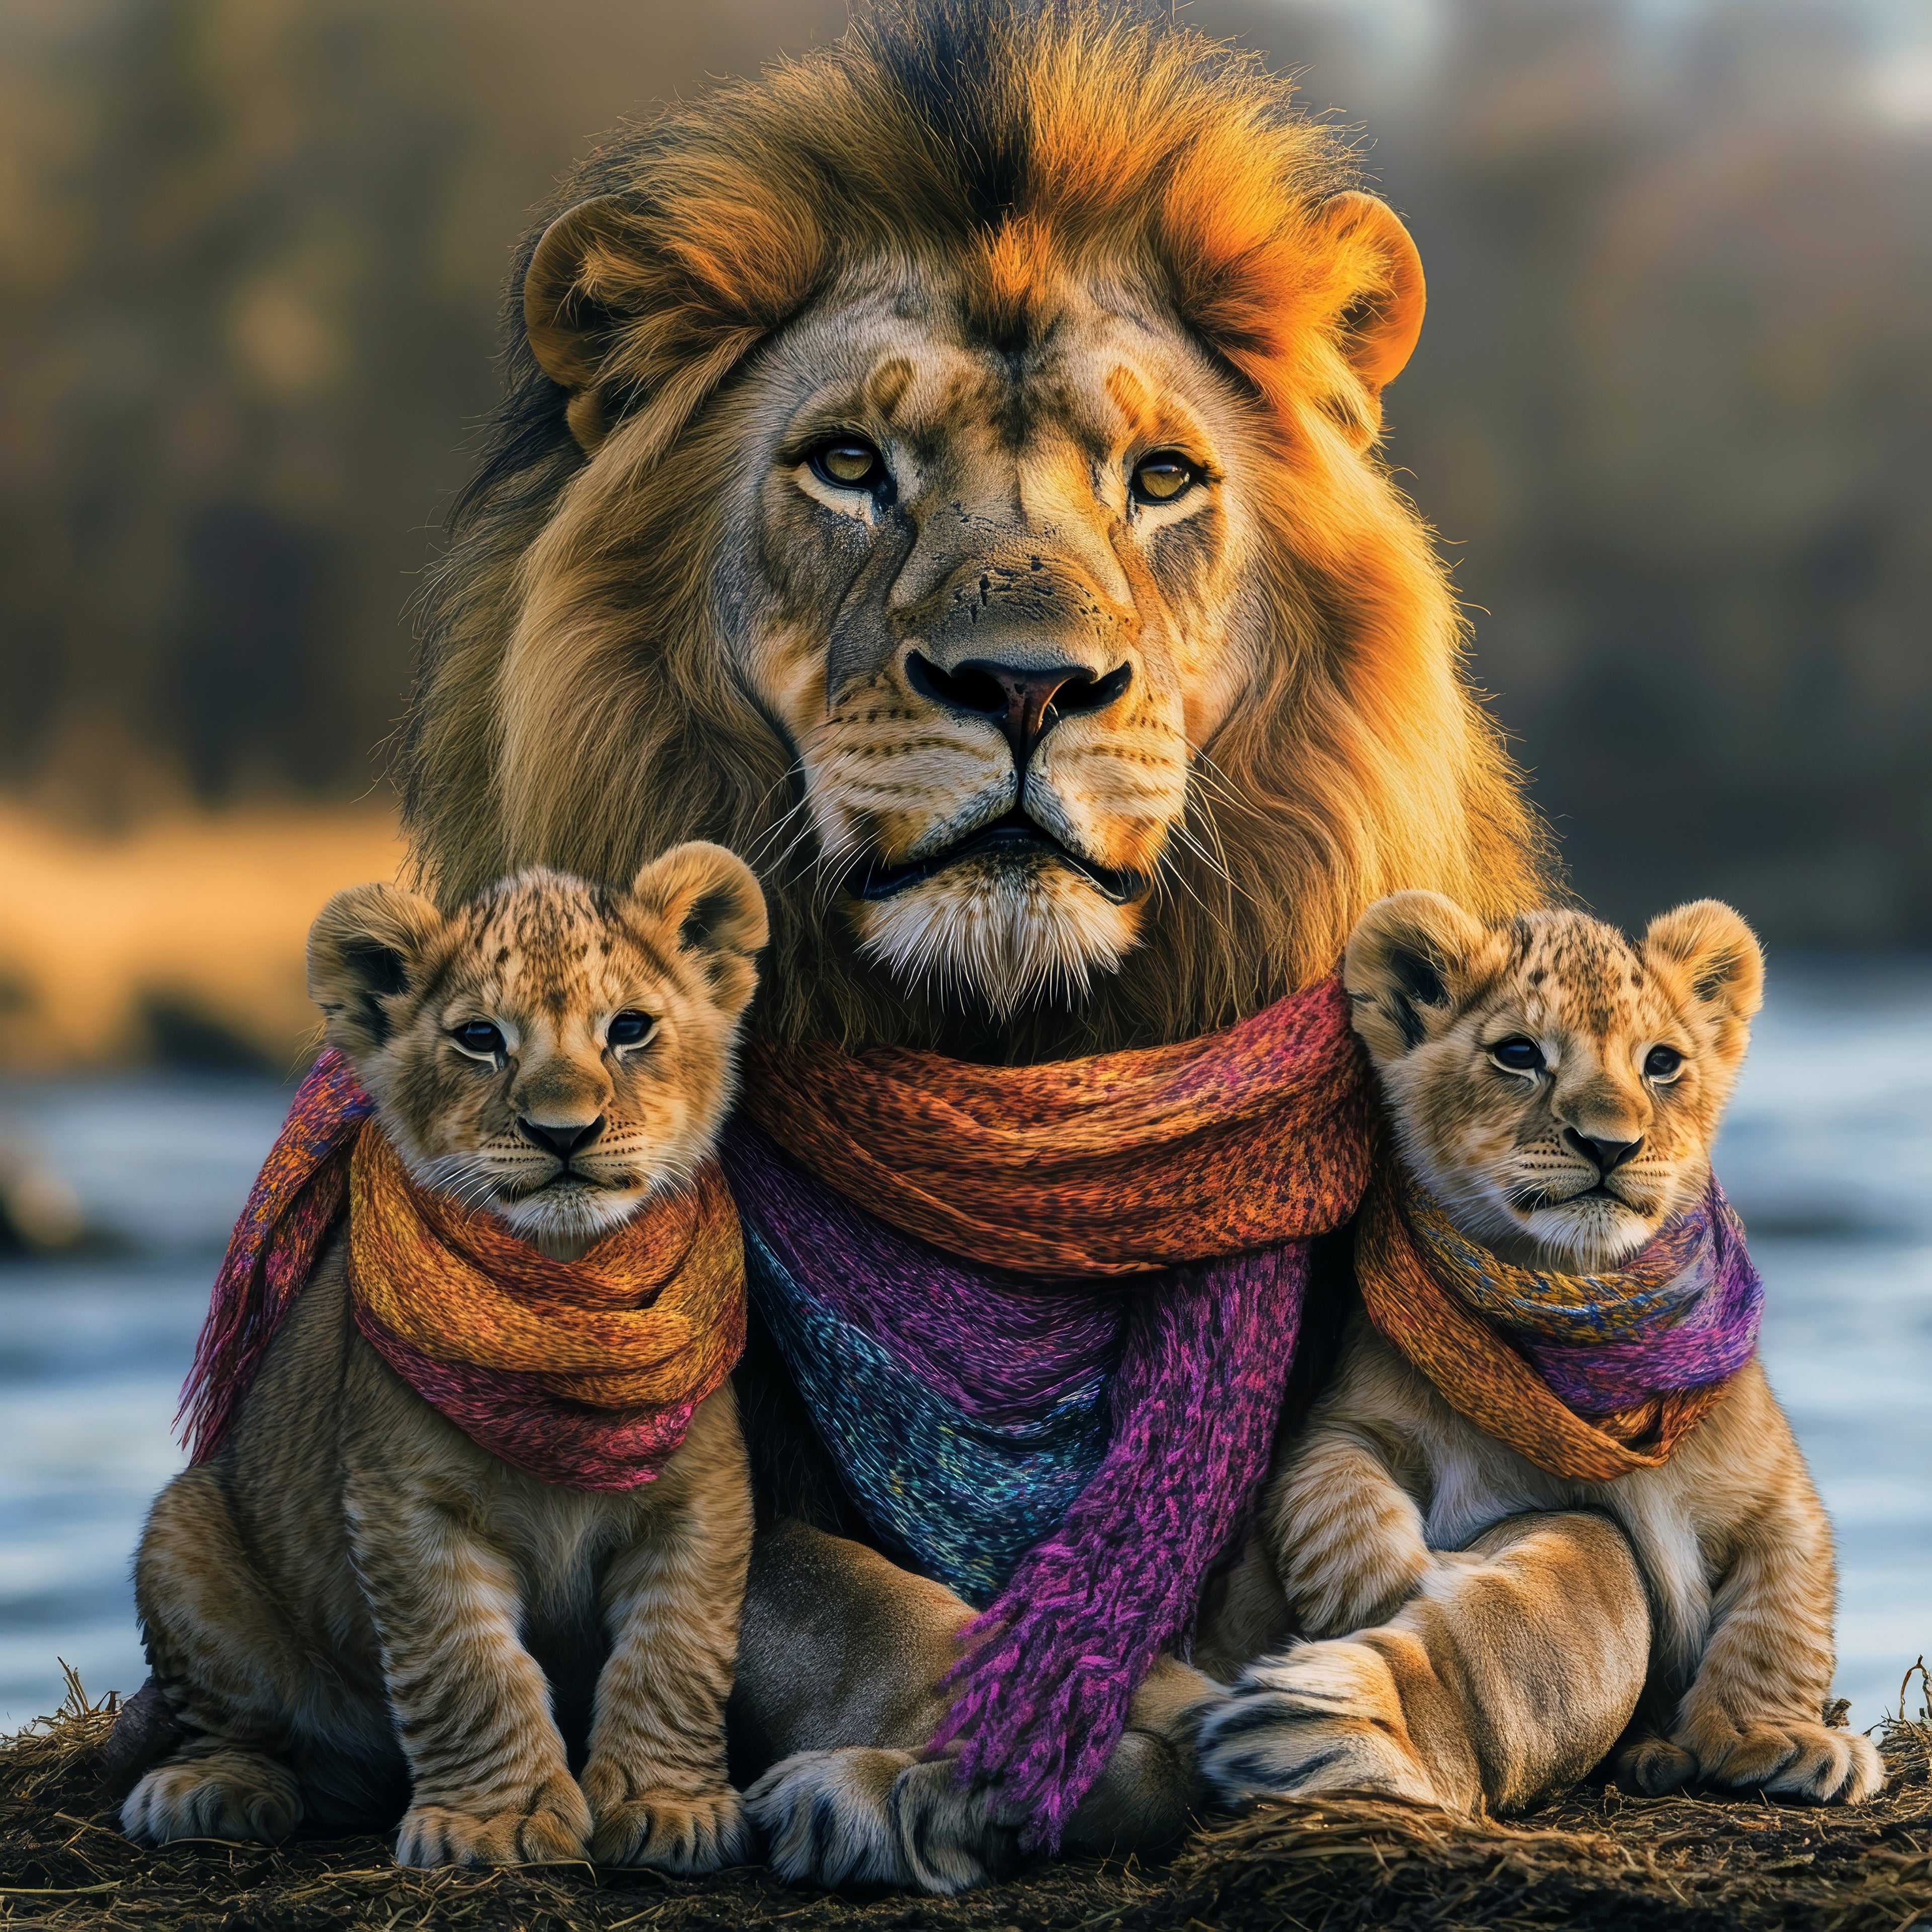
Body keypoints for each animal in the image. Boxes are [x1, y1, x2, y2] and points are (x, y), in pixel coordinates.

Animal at [381, 0, 1660, 1889]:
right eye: (849, 465)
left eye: (1161, 479)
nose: (1028, 684)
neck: (1026, 1067)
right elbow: (848, 1605)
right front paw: (1032, 1734)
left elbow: (1586, 1595)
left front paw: (1353, 1718)